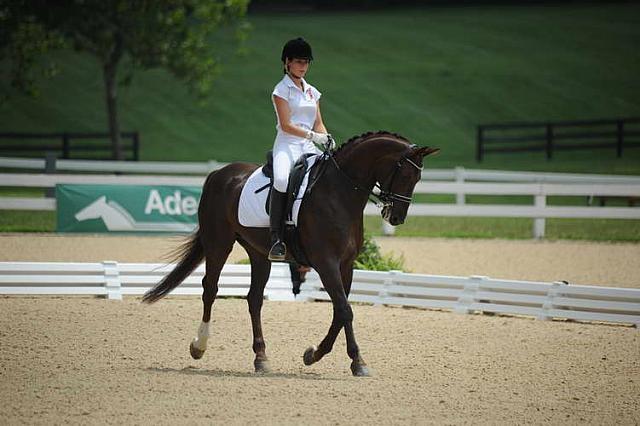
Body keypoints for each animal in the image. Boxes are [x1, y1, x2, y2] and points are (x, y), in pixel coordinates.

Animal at [142, 131, 438, 376]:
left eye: (418, 179)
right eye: (405, 176)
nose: (396, 217)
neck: (339, 193)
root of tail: (218, 173)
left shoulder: (346, 265)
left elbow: (340, 311)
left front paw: (314, 354)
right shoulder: (326, 263)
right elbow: (345, 310)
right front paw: (357, 362)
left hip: (258, 253)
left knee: (254, 299)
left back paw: (261, 358)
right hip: (219, 244)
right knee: (210, 289)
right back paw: (199, 346)